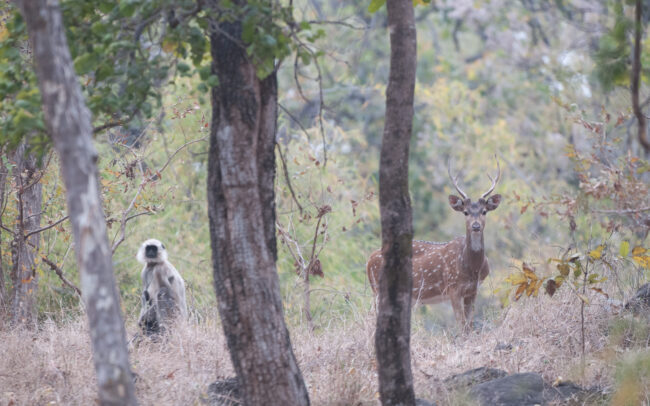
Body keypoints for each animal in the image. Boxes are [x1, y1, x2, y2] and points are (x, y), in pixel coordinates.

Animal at [367, 157, 501, 332]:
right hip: (377, 288)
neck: (472, 268)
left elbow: (469, 326)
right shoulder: (453, 287)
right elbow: (461, 325)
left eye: (484, 211)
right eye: (465, 212)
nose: (476, 226)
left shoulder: (472, 291)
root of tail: (369, 259)